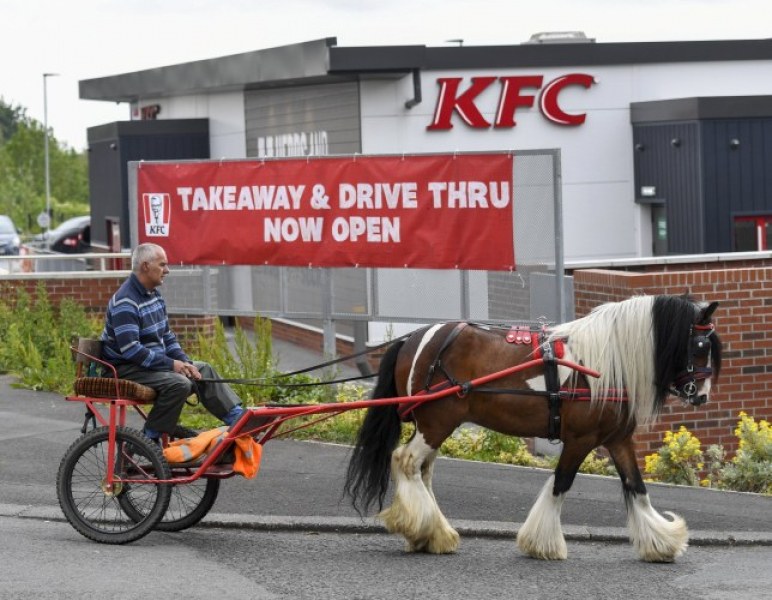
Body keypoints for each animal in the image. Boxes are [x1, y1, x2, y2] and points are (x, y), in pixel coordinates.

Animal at [342, 296, 716, 564]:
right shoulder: (580, 439)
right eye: (700, 346)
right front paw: (543, 543)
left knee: (422, 469)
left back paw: (434, 533)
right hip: (437, 423)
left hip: (433, 425)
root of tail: (413, 339)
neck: (602, 363)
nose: (702, 395)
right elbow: (561, 483)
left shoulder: (617, 439)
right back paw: (422, 526)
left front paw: (661, 542)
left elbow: (636, 487)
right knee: (405, 461)